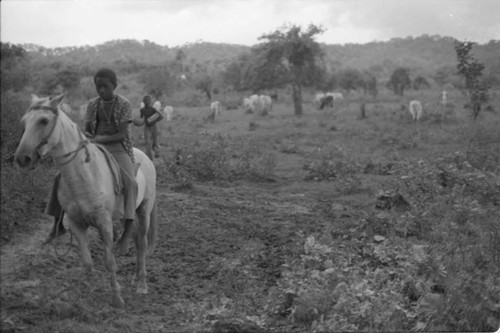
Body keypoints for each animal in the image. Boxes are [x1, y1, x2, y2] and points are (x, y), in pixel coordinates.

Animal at [14, 92, 158, 306]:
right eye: (24, 121)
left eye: (43, 120)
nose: (22, 158)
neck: (85, 176)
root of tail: (146, 158)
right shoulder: (76, 224)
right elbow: (87, 263)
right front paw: (89, 297)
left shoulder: (104, 223)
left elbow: (109, 261)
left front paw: (117, 298)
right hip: (128, 215)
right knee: (132, 236)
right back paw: (134, 277)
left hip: (143, 211)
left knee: (142, 243)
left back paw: (141, 284)